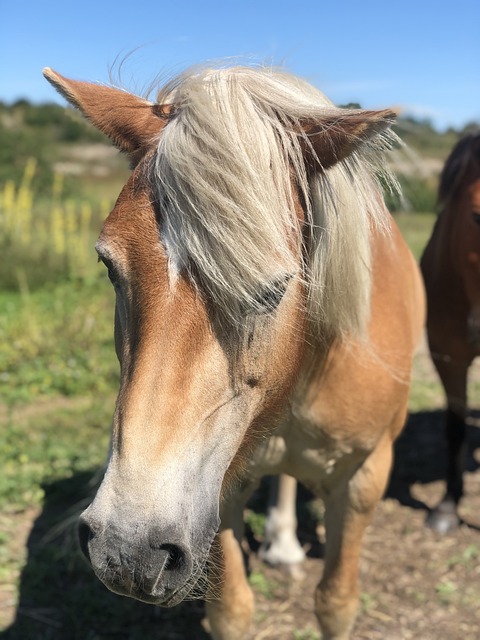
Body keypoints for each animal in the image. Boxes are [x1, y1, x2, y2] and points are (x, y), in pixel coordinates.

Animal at [42, 66, 424, 640]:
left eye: (275, 288)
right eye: (110, 266)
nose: (127, 550)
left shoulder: (364, 478)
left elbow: (336, 603)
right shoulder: (215, 494)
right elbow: (232, 612)